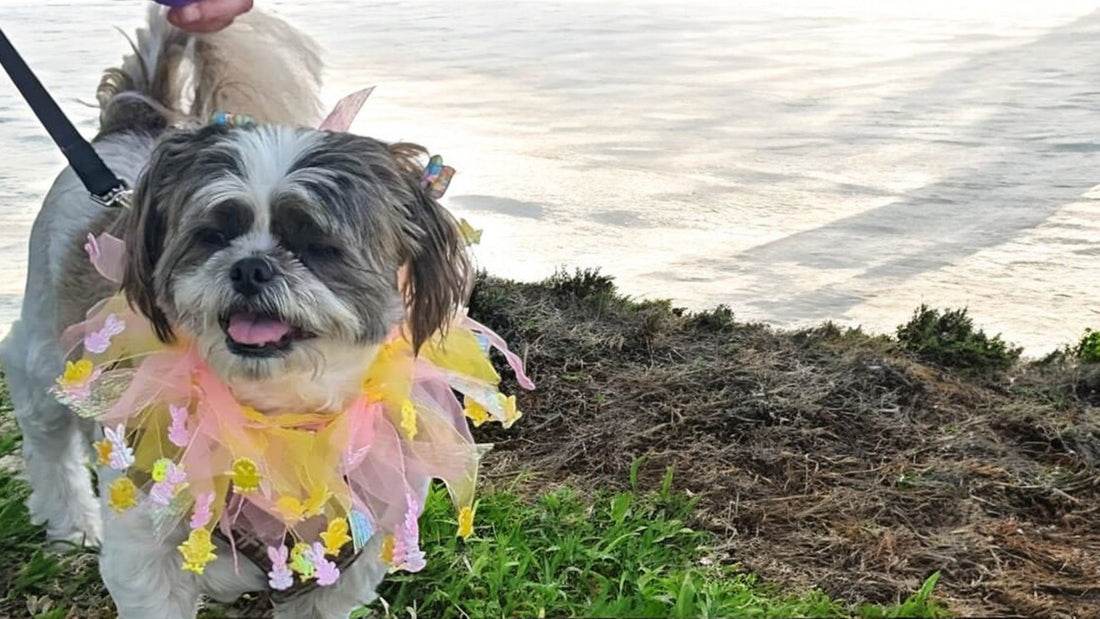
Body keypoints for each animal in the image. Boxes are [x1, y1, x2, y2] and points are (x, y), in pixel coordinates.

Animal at [1, 6, 481, 619]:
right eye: (213, 235)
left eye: (316, 244)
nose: (251, 267)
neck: (274, 415)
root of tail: (133, 120)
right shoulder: (147, 550)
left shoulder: (341, 566)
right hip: (46, 343)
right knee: (44, 424)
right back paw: (71, 522)